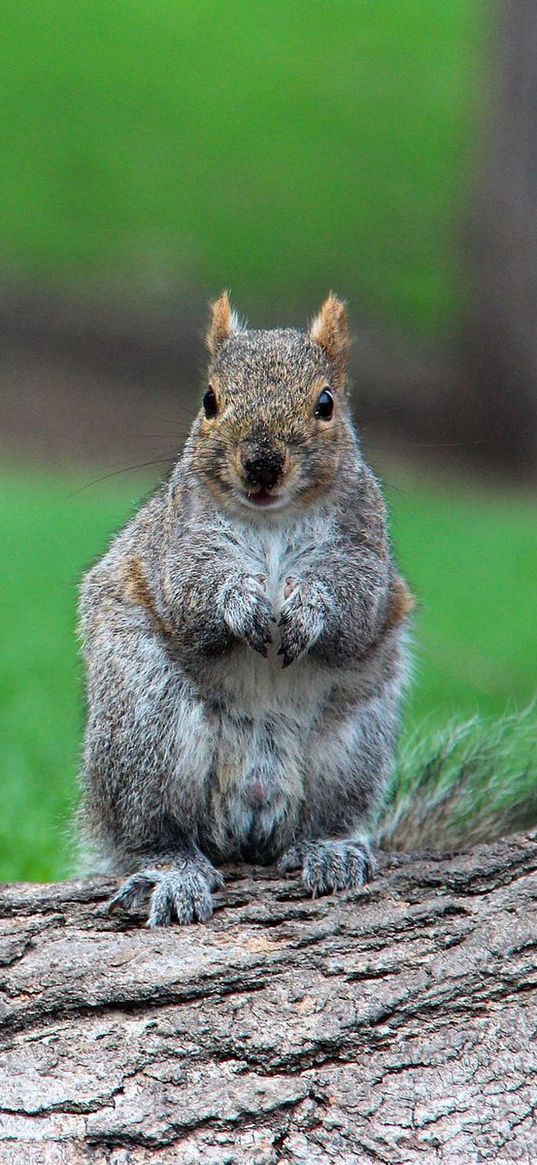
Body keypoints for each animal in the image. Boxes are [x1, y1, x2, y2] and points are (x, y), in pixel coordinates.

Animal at [78, 293, 414, 927]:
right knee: (155, 832)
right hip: (147, 726)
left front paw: (308, 609)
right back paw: (173, 870)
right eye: (209, 400)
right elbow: (192, 593)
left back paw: (327, 849)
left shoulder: (366, 551)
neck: (271, 518)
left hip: (352, 744)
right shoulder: (178, 543)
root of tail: (251, 806)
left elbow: (354, 603)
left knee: (319, 820)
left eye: (326, 404)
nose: (261, 464)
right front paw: (241, 602)